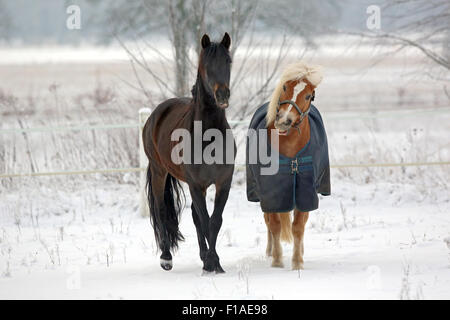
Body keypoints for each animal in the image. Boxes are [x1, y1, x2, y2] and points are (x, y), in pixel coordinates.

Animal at [143, 31, 236, 272]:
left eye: (228, 61)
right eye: (206, 64)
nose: (222, 96)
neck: (209, 135)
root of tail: (156, 114)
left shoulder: (223, 183)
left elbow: (214, 221)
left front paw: (214, 263)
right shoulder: (196, 184)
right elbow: (205, 220)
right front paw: (211, 263)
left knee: (195, 216)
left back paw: (203, 256)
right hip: (159, 172)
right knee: (162, 210)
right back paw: (166, 257)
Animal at [246, 61, 330, 268]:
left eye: (308, 95)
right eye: (284, 87)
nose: (284, 121)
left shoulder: (305, 190)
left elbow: (298, 227)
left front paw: (297, 262)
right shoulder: (271, 192)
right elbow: (275, 225)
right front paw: (277, 261)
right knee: (268, 222)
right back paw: (269, 252)